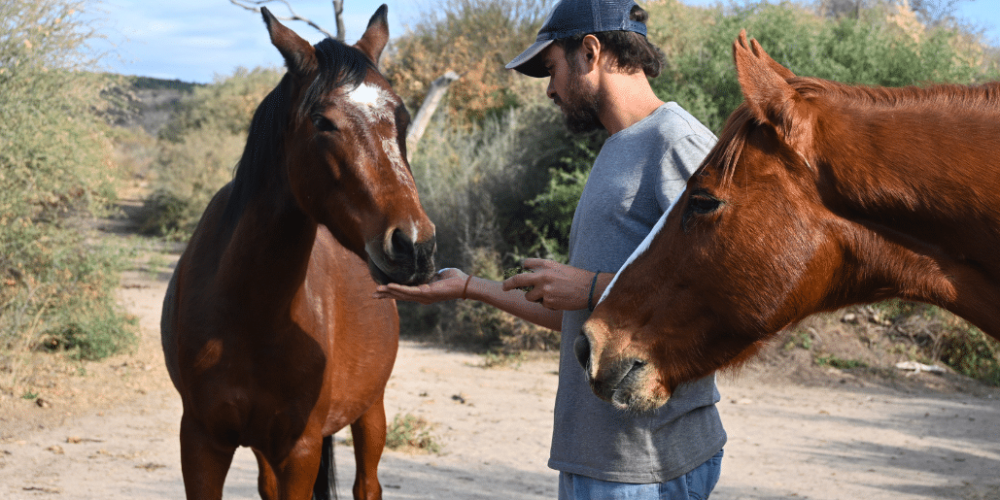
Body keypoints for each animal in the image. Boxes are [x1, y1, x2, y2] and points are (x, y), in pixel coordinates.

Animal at [160, 5, 434, 498]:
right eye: (322, 121)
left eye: (402, 117)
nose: (415, 246)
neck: (250, 314)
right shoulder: (201, 441)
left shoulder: (300, 449)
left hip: (371, 410)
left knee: (367, 485)